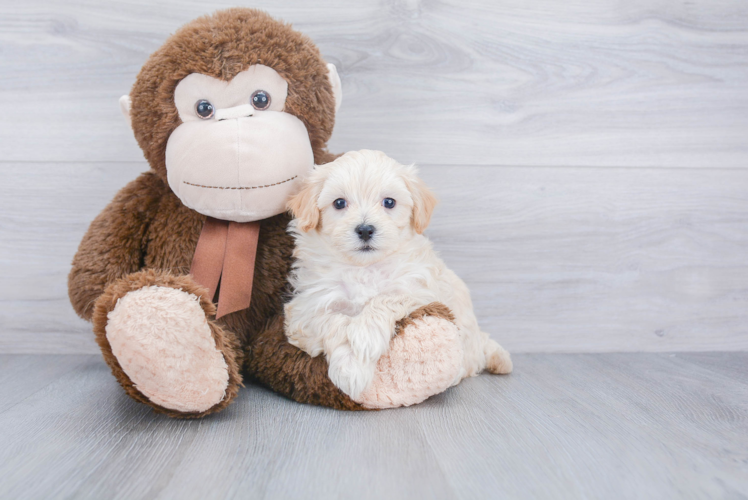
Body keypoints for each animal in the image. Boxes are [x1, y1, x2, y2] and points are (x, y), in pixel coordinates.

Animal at [284, 150, 512, 400]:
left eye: (389, 202)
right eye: (339, 203)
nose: (365, 229)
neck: (364, 268)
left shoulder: (420, 290)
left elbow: (386, 298)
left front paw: (365, 338)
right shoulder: (305, 310)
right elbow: (334, 322)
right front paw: (351, 368)